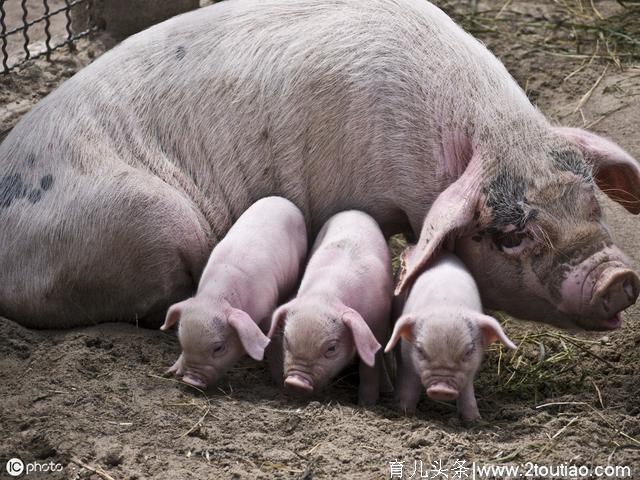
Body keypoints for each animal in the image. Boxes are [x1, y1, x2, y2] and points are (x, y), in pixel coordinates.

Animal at [162, 197, 308, 388]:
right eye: (182, 343)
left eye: (219, 348)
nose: (190, 380)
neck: (216, 298)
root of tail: (282, 200)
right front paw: (171, 371)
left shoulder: (267, 308)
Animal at [268, 210, 392, 404]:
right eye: (286, 341)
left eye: (331, 348)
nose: (296, 382)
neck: (326, 296)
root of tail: (353, 211)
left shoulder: (379, 322)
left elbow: (370, 366)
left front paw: (367, 405)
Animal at [384, 249, 516, 422]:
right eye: (420, 350)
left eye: (468, 352)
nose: (442, 388)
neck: (446, 304)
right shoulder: (407, 359)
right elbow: (409, 385)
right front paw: (405, 412)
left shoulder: (471, 368)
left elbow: (467, 391)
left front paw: (474, 420)